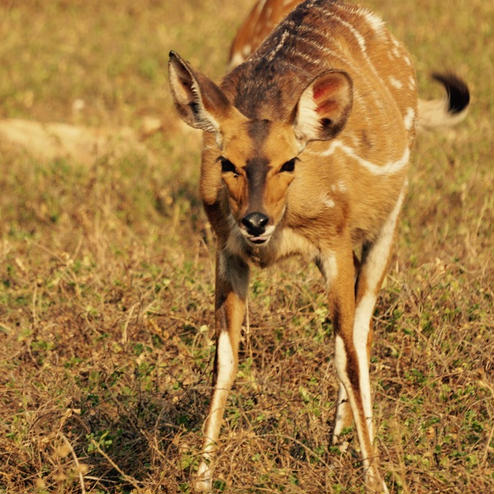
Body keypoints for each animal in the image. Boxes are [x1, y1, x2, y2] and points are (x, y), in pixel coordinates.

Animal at [168, 1, 468, 492]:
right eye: (226, 162)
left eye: (290, 162)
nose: (255, 222)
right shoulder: (226, 250)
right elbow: (224, 357)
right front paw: (201, 479)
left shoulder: (335, 241)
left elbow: (346, 354)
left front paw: (376, 480)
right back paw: (336, 440)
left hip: (388, 221)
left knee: (360, 332)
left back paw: (342, 441)